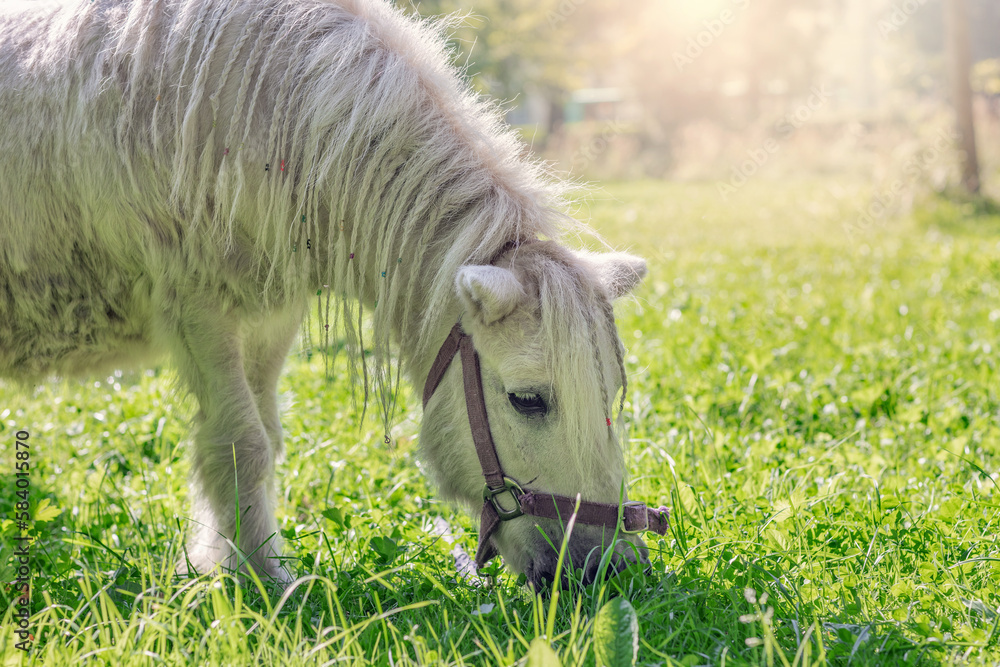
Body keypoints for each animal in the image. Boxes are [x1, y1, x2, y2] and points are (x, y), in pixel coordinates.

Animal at [0, 0, 663, 589]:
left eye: (614, 393)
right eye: (528, 400)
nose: (605, 568)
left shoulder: (270, 314)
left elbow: (265, 435)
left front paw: (236, 562)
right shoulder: (197, 308)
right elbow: (241, 443)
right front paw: (264, 582)